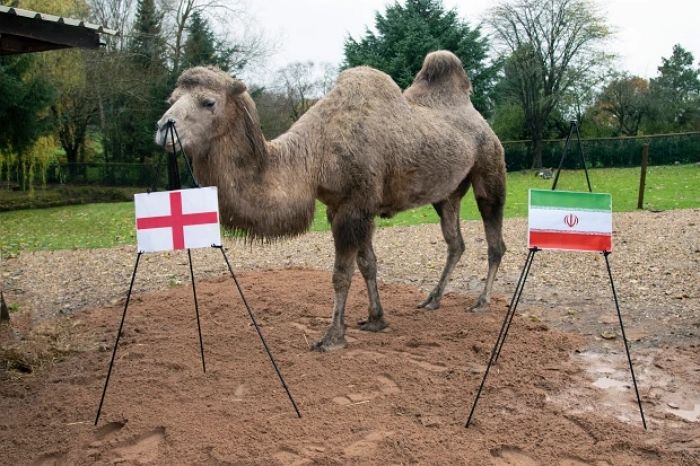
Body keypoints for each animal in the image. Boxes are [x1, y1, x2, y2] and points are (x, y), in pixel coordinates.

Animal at [157, 50, 508, 350]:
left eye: (208, 102)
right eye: (171, 100)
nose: (163, 127)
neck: (314, 155)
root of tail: (478, 117)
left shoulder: (354, 206)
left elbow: (342, 274)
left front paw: (333, 337)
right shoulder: (346, 206)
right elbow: (368, 264)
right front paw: (375, 319)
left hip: (490, 166)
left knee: (495, 240)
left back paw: (481, 302)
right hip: (448, 192)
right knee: (455, 242)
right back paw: (433, 299)